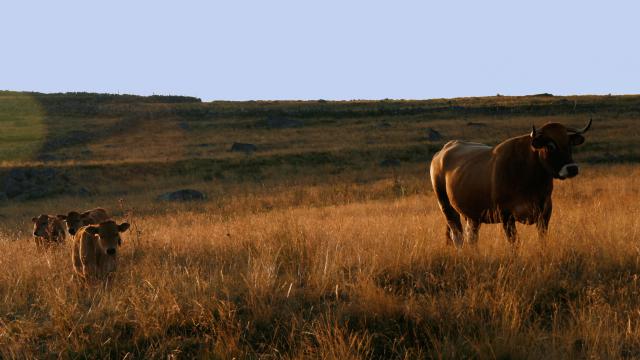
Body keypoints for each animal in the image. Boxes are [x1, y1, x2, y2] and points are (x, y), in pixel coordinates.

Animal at [428, 118, 592, 245]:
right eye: (550, 146)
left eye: (569, 143)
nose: (572, 168)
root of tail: (442, 151)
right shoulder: (506, 215)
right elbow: (514, 243)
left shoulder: (545, 213)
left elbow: (542, 240)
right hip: (447, 207)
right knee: (458, 236)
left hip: (472, 215)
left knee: (471, 237)